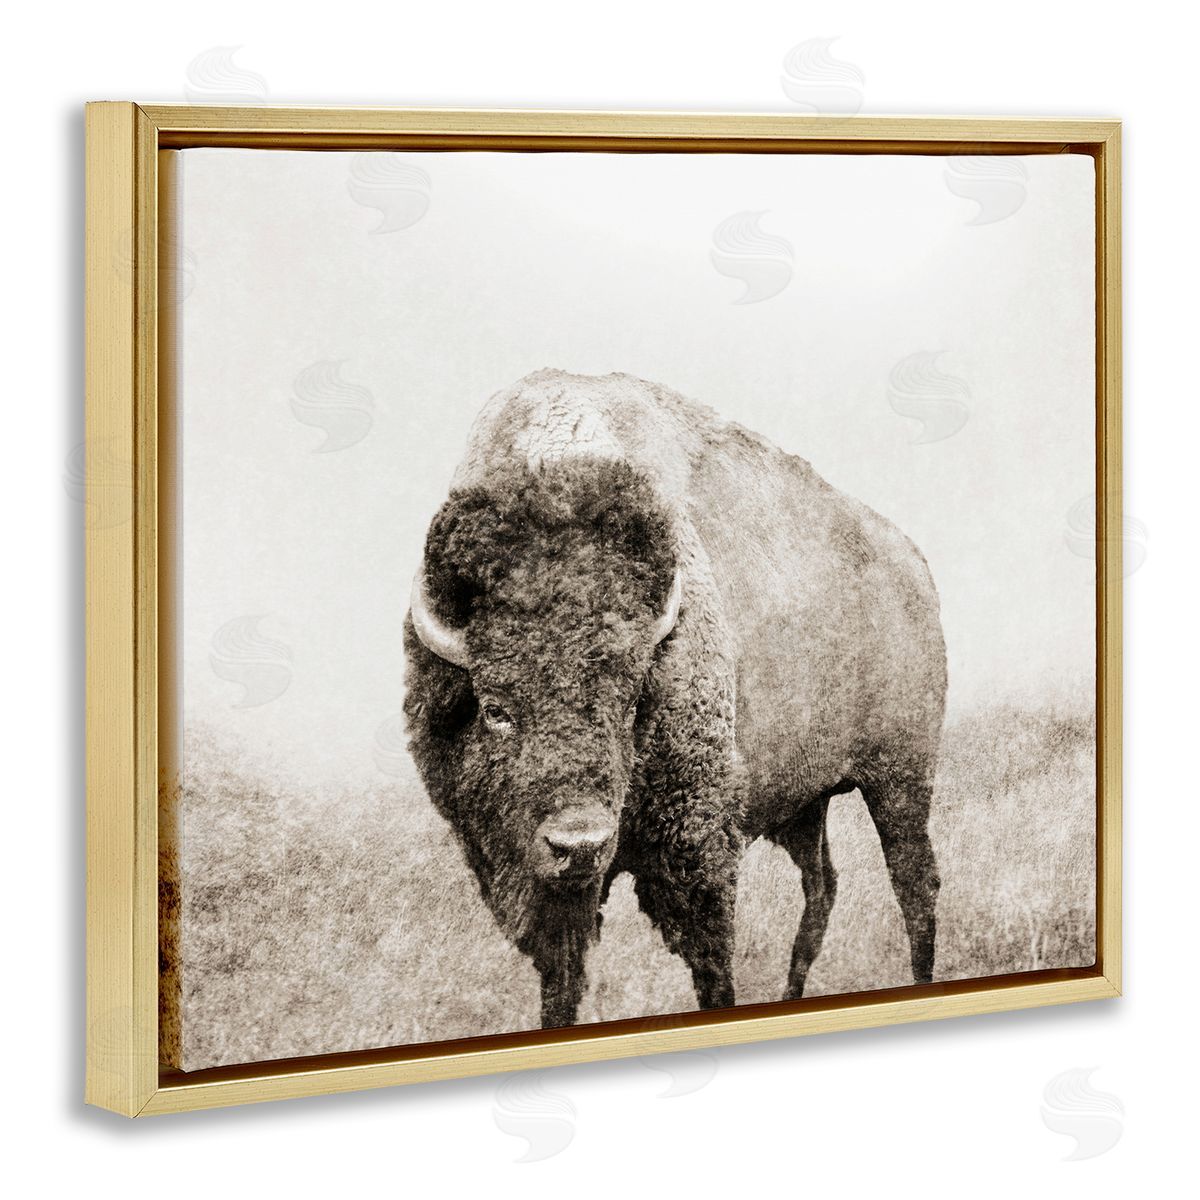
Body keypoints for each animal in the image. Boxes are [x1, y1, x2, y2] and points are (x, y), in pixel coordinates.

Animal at [404, 369, 946, 1028]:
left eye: (631, 699)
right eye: (496, 710)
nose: (580, 845)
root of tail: (913, 564)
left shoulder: (696, 852)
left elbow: (711, 965)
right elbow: (561, 981)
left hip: (900, 779)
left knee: (914, 885)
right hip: (806, 803)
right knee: (823, 887)